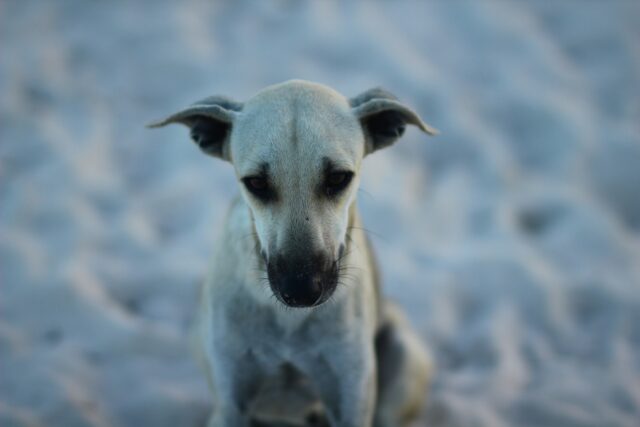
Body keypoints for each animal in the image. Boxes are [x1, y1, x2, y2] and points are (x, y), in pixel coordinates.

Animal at [149, 81, 438, 427]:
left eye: (338, 177)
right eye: (256, 182)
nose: (301, 290)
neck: (289, 324)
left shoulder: (350, 400)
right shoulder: (232, 401)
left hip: (404, 357)